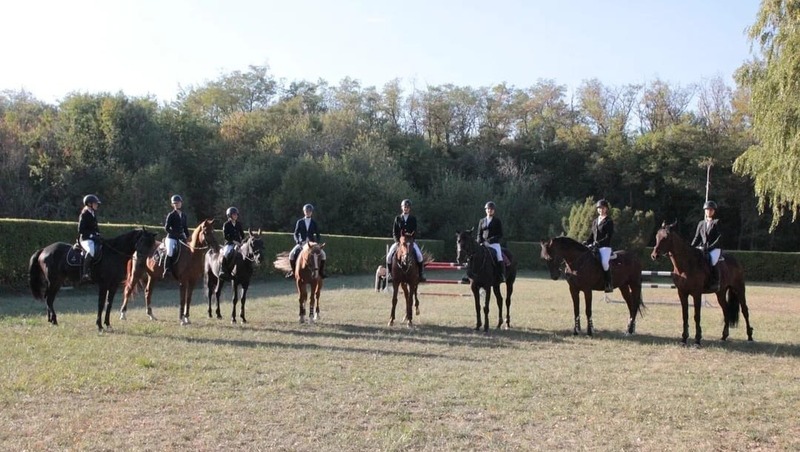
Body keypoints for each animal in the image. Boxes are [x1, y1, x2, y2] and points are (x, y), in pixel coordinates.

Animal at [28, 228, 156, 330]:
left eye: (152, 245)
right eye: (141, 241)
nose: (142, 261)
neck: (113, 254)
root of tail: (44, 249)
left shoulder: (113, 285)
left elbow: (109, 304)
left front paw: (107, 324)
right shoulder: (103, 284)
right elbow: (101, 304)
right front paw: (99, 325)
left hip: (57, 282)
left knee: (49, 298)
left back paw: (50, 320)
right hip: (53, 281)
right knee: (48, 299)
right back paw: (54, 320)